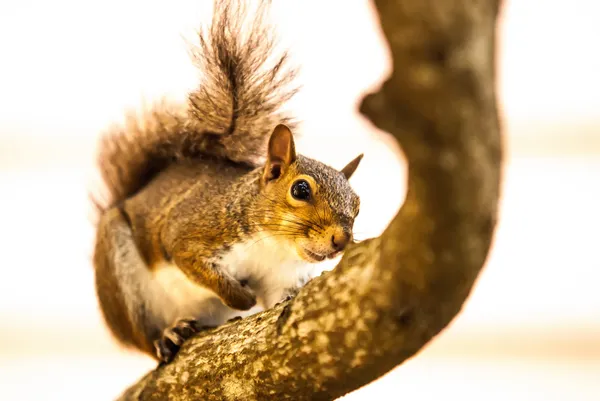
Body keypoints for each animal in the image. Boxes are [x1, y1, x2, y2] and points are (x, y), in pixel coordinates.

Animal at [91, 0, 364, 362]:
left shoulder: (281, 275)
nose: (341, 240)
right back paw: (166, 336)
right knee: (144, 337)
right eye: (300, 189)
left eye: (358, 205)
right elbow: (196, 263)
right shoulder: (193, 233)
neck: (273, 247)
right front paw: (243, 297)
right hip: (122, 278)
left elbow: (279, 297)